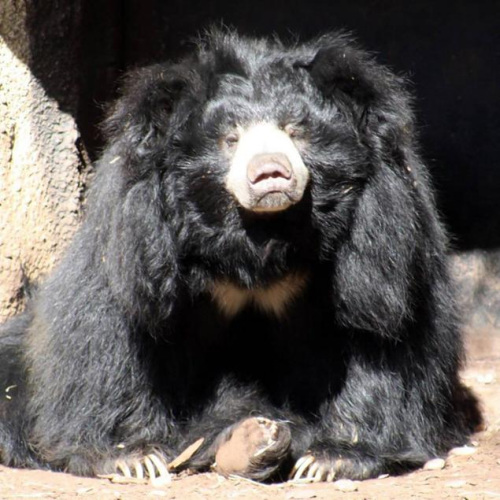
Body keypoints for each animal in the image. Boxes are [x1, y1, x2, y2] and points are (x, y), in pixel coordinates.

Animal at [0, 29, 480, 482]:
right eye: (230, 139)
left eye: (295, 131)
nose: (270, 172)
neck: (257, 237)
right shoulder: (136, 234)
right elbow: (114, 325)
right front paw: (130, 457)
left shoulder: (384, 232)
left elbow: (379, 330)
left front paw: (334, 458)